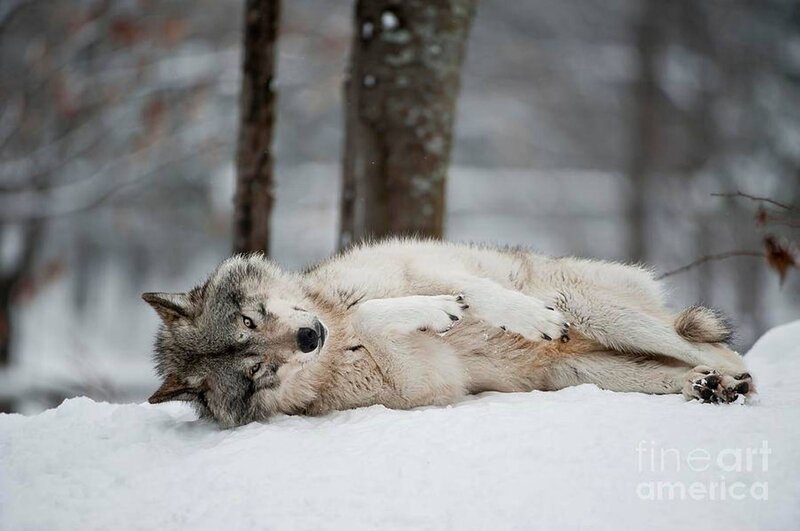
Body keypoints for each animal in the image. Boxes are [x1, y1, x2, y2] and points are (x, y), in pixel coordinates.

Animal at [143, 239, 754, 428]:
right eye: (258, 369)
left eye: (251, 320)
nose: (308, 340)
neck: (337, 323)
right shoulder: (427, 378)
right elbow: (384, 317)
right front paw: (435, 314)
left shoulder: (421, 266)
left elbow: (468, 292)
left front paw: (522, 318)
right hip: (592, 373)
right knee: (688, 369)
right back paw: (705, 387)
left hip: (601, 313)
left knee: (719, 349)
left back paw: (727, 381)